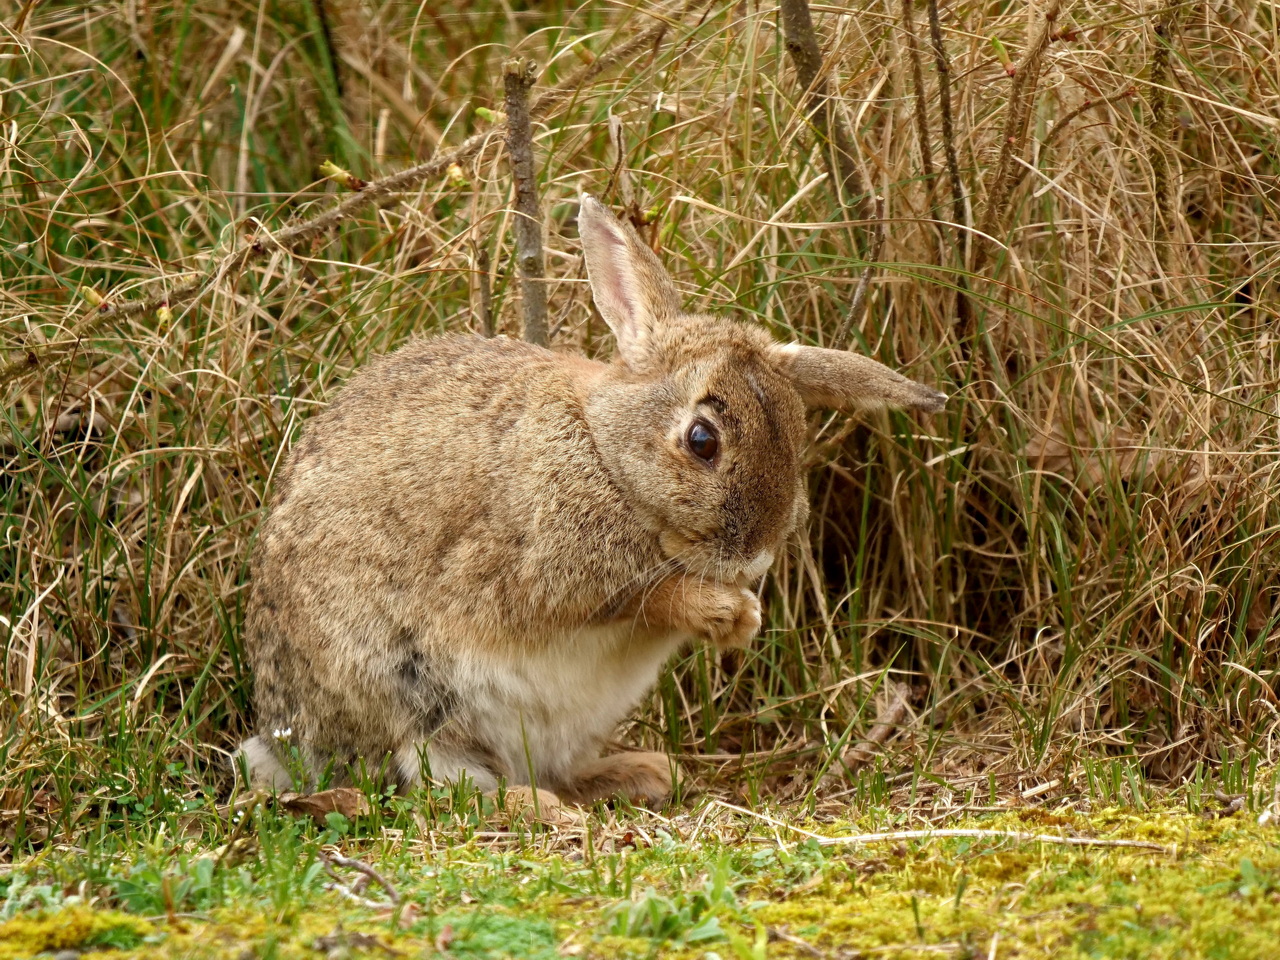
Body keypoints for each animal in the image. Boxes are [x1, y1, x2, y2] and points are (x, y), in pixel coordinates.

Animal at [235, 193, 947, 803]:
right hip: (410, 700)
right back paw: (542, 808)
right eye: (702, 440)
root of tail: (289, 741)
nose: (754, 560)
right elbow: (639, 597)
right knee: (451, 790)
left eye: (797, 439)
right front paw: (721, 609)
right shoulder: (540, 567)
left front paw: (743, 618)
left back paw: (642, 773)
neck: (604, 450)